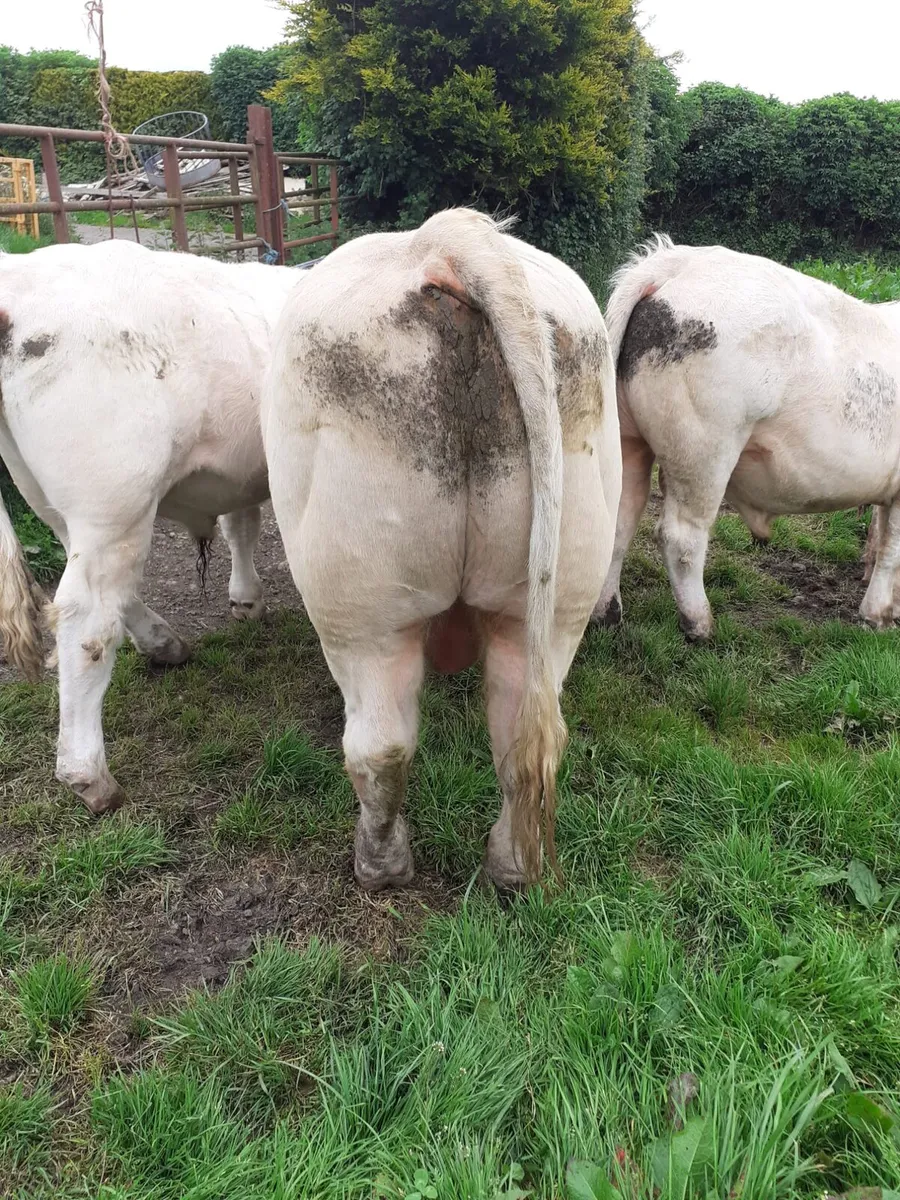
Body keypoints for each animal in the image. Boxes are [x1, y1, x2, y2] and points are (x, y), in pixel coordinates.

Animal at [0, 239, 302, 813]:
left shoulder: (239, 472)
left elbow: (242, 526)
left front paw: (246, 600)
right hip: (115, 501)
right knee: (87, 618)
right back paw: (88, 775)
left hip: (61, 505)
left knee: (109, 593)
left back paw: (164, 643)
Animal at [263, 209, 622, 891]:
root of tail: (445, 240)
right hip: (557, 593)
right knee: (522, 734)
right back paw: (511, 868)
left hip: (360, 599)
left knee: (380, 744)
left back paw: (379, 864)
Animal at [593, 238, 900, 639]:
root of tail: (679, 261)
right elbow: (892, 549)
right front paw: (879, 617)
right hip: (706, 448)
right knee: (681, 534)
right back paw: (699, 624)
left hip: (627, 437)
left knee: (620, 518)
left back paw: (607, 614)